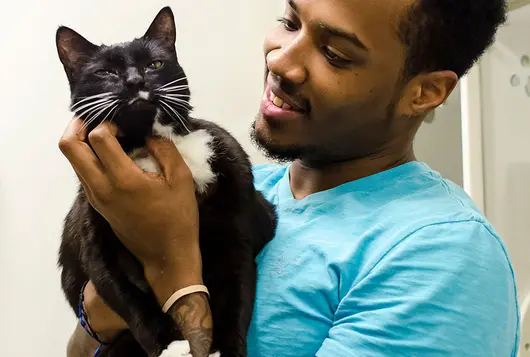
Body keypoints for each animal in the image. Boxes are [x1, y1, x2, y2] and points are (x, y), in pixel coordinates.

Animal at [55, 6, 276, 356]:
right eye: (105, 72)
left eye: (154, 64)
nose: (135, 81)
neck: (144, 142)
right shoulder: (93, 233)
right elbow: (123, 291)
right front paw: (167, 342)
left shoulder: (236, 222)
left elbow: (237, 293)